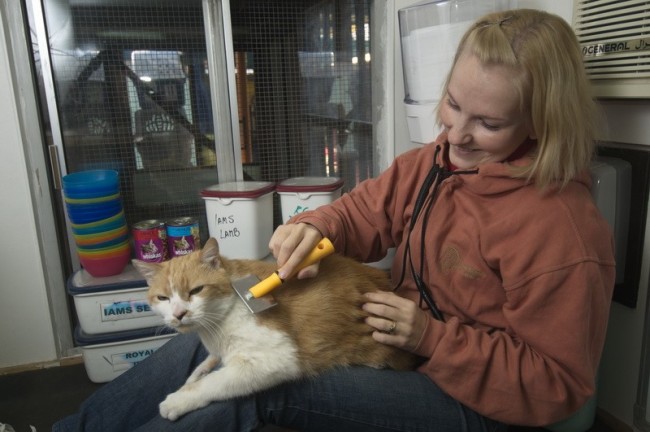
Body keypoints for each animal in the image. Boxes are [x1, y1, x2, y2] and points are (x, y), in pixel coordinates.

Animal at [132, 238, 420, 420]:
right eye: (163, 298)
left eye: (196, 291)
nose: (179, 314)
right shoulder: (218, 350)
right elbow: (204, 368)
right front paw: (193, 377)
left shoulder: (277, 358)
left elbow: (212, 382)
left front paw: (177, 400)